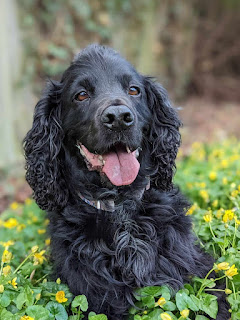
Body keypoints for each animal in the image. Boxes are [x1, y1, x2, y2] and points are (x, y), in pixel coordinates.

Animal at [23, 43, 229, 318]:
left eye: (133, 90)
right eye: (81, 95)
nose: (119, 117)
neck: (119, 205)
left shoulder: (197, 270)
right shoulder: (95, 297)